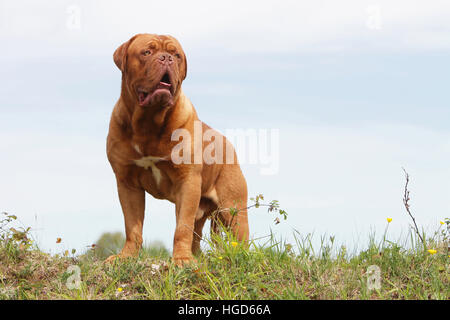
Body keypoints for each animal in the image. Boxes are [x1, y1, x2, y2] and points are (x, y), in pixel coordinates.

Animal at [106, 33, 250, 266]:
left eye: (177, 55)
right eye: (147, 52)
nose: (166, 58)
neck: (149, 123)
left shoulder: (187, 182)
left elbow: (182, 227)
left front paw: (182, 259)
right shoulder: (127, 183)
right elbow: (132, 227)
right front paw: (126, 257)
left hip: (232, 208)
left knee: (239, 236)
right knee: (196, 237)